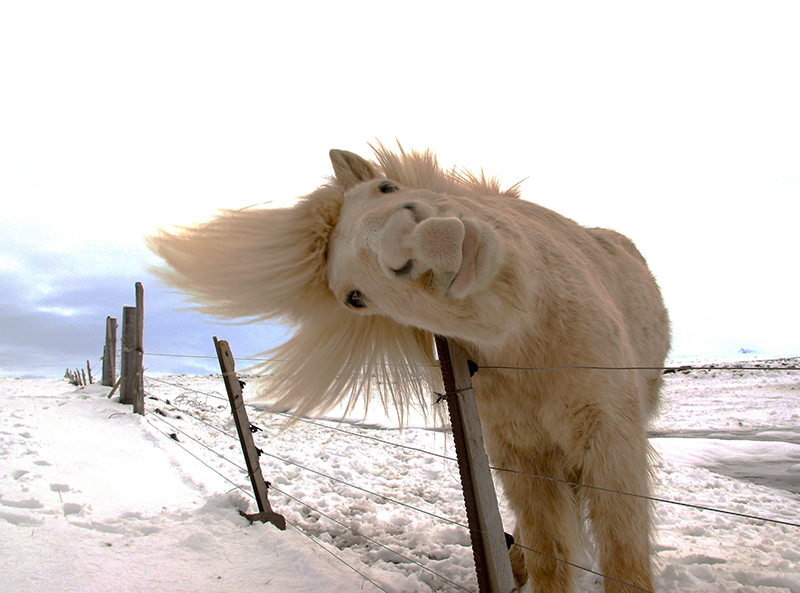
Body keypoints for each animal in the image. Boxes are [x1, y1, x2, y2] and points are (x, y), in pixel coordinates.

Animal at [148, 143, 668, 592]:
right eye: (354, 298)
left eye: (387, 187)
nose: (428, 240)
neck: (532, 350)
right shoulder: (522, 455)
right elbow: (552, 557)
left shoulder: (610, 437)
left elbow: (623, 560)